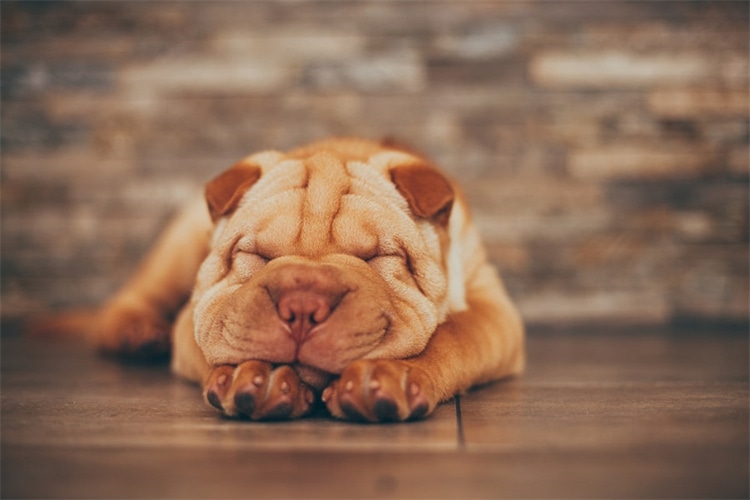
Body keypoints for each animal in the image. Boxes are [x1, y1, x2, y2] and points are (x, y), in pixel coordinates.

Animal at [53, 138, 524, 422]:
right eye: (257, 255)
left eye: (376, 258)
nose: (302, 305)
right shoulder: (196, 315)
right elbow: (221, 337)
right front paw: (254, 375)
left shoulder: (493, 310)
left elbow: (453, 336)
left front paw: (390, 375)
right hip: (179, 245)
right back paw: (138, 332)